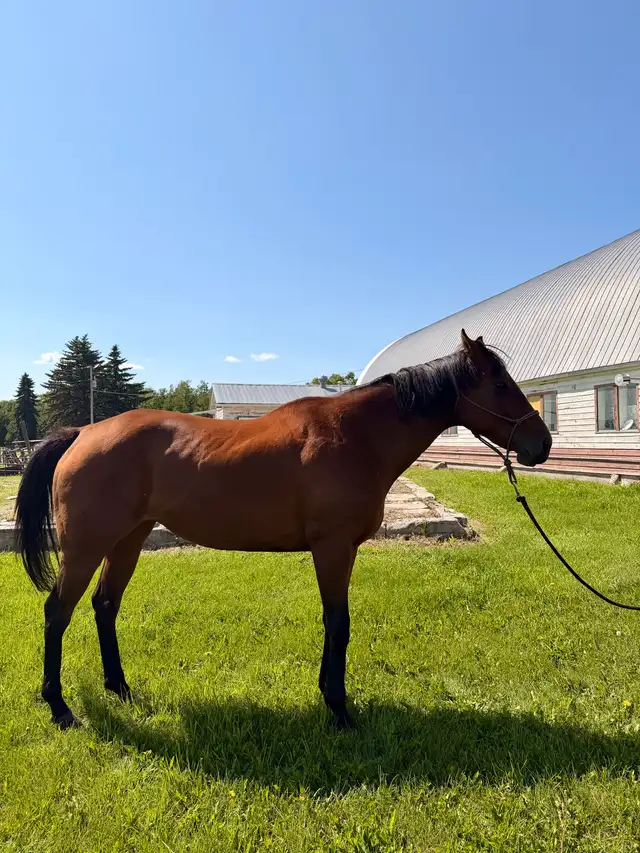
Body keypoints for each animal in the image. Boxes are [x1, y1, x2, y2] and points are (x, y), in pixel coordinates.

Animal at [15, 330, 551, 730]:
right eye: (500, 385)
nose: (540, 443)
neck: (356, 435)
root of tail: (84, 432)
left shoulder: (336, 551)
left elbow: (332, 623)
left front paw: (327, 695)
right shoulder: (333, 548)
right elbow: (339, 623)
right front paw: (338, 709)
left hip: (127, 541)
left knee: (104, 606)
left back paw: (120, 688)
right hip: (86, 547)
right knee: (57, 612)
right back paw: (59, 707)